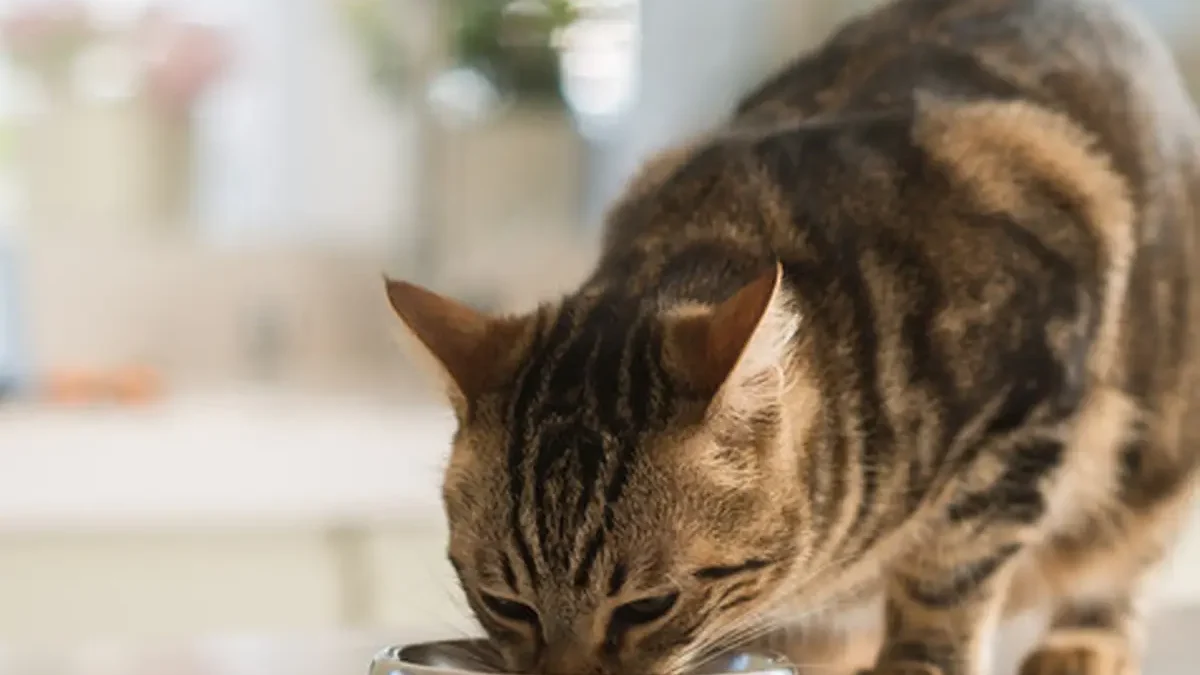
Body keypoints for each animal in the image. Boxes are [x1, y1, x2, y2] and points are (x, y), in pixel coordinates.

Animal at [384, 1, 1200, 672]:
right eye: (506, 603)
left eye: (647, 607)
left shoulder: (1027, 400)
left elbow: (948, 579)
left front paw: (916, 657)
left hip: (1154, 463)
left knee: (1116, 567)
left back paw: (1082, 643)